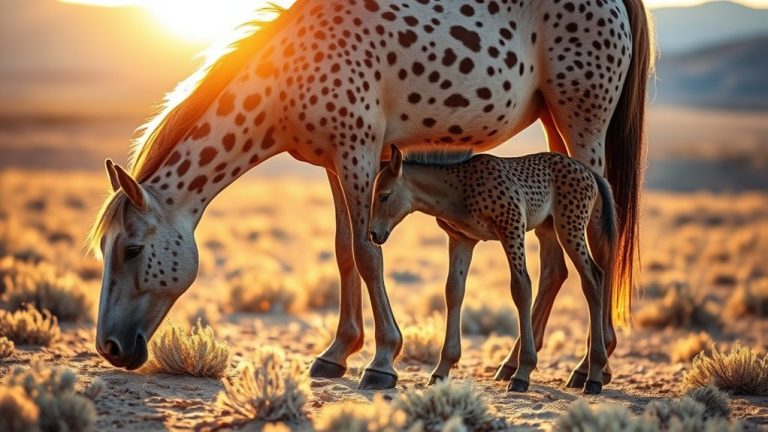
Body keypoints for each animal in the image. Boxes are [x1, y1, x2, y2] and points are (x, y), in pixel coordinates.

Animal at [369, 146, 619, 394]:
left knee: (592, 279)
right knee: (575, 274)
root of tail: (588, 172)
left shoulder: (512, 227)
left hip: (569, 227)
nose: (373, 234)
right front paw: (442, 369)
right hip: (549, 229)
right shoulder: (462, 240)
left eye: (384, 195)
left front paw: (523, 371)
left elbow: (521, 288)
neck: (458, 188)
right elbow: (454, 292)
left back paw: (593, 375)